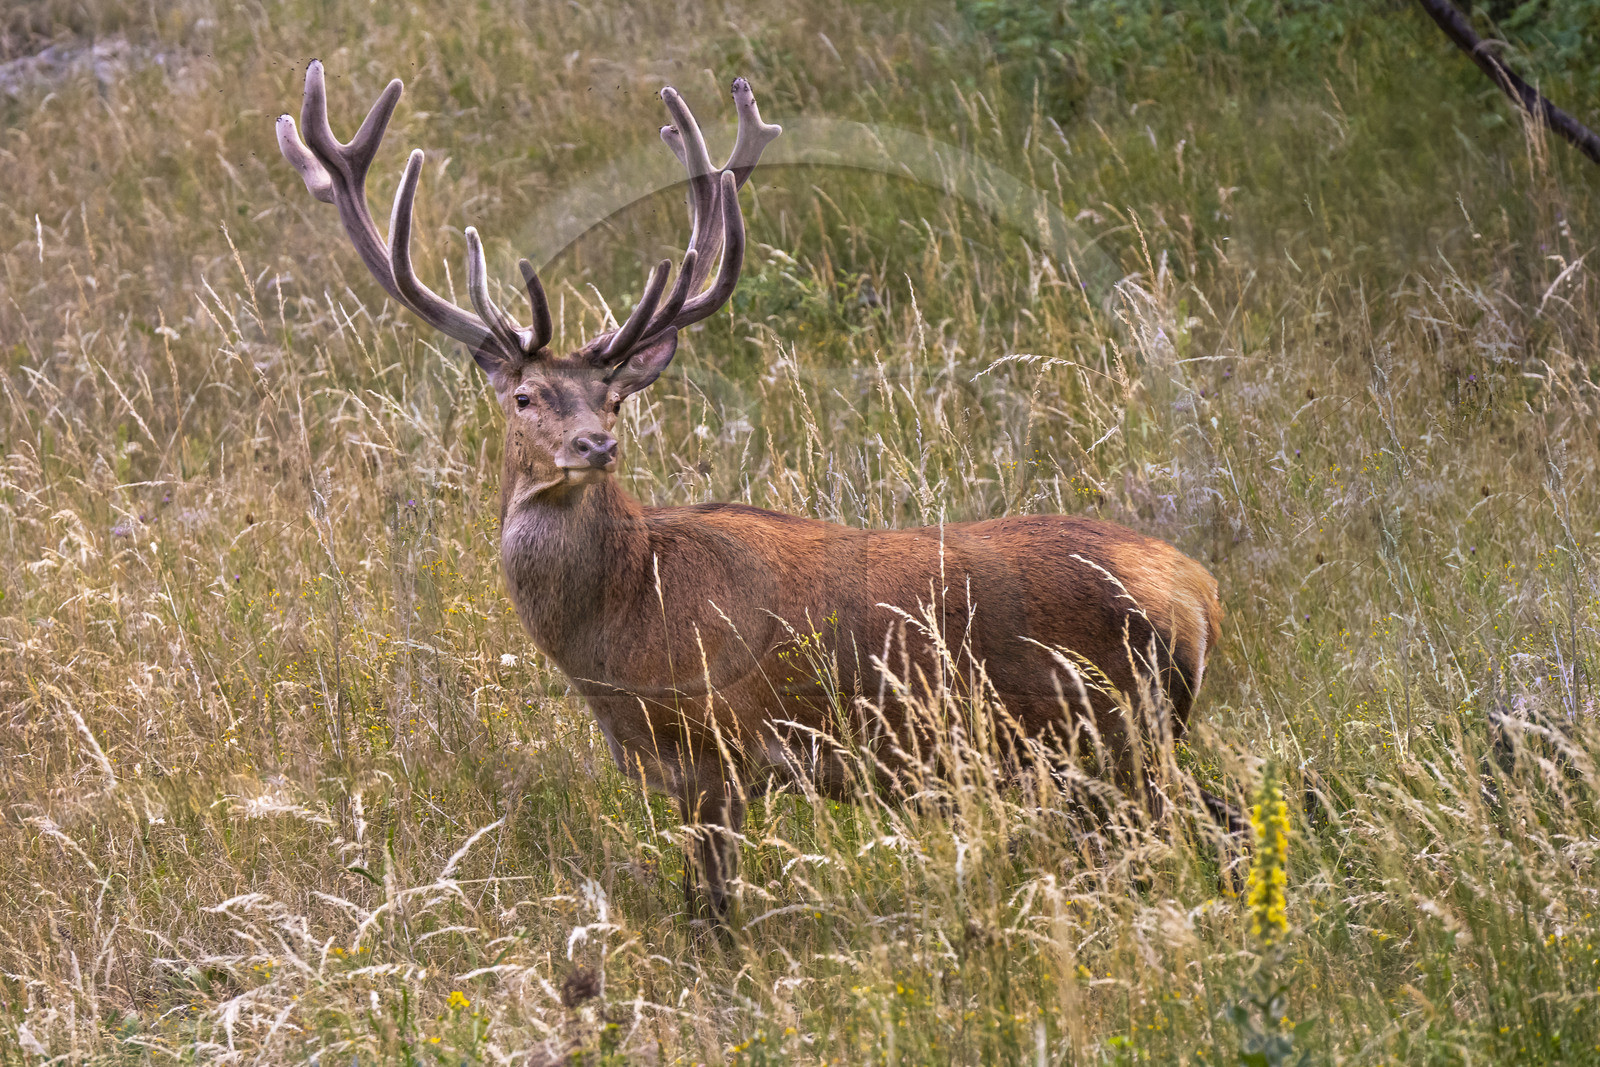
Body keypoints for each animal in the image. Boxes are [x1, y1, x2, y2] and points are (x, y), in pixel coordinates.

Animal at [277, 61, 1226, 918]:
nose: (597, 444)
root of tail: (1201, 592)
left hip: (1111, 738)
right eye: (526, 396)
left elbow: (713, 908)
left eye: (613, 397)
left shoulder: (715, 751)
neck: (622, 618)